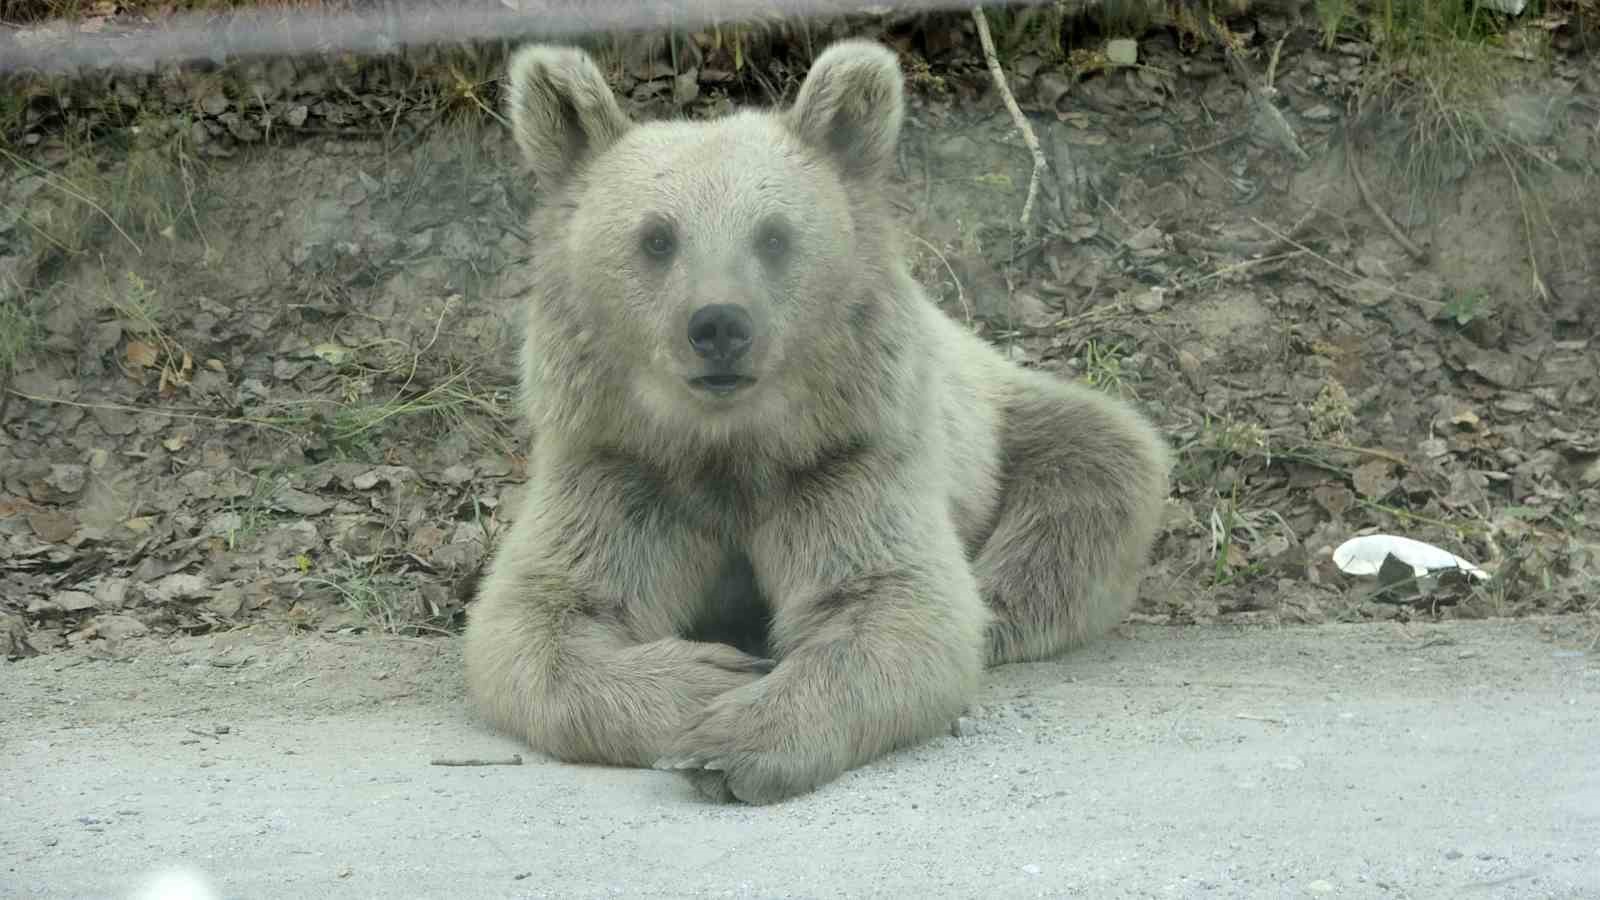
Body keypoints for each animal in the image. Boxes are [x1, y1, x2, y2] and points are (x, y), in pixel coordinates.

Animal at [464, 38, 1177, 800]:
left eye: (775, 237)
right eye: (656, 238)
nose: (719, 325)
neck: (726, 444)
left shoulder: (846, 455)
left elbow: (893, 601)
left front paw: (733, 739)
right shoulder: (620, 466)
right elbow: (540, 612)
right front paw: (706, 677)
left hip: (1002, 420)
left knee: (1094, 471)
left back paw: (1001, 598)